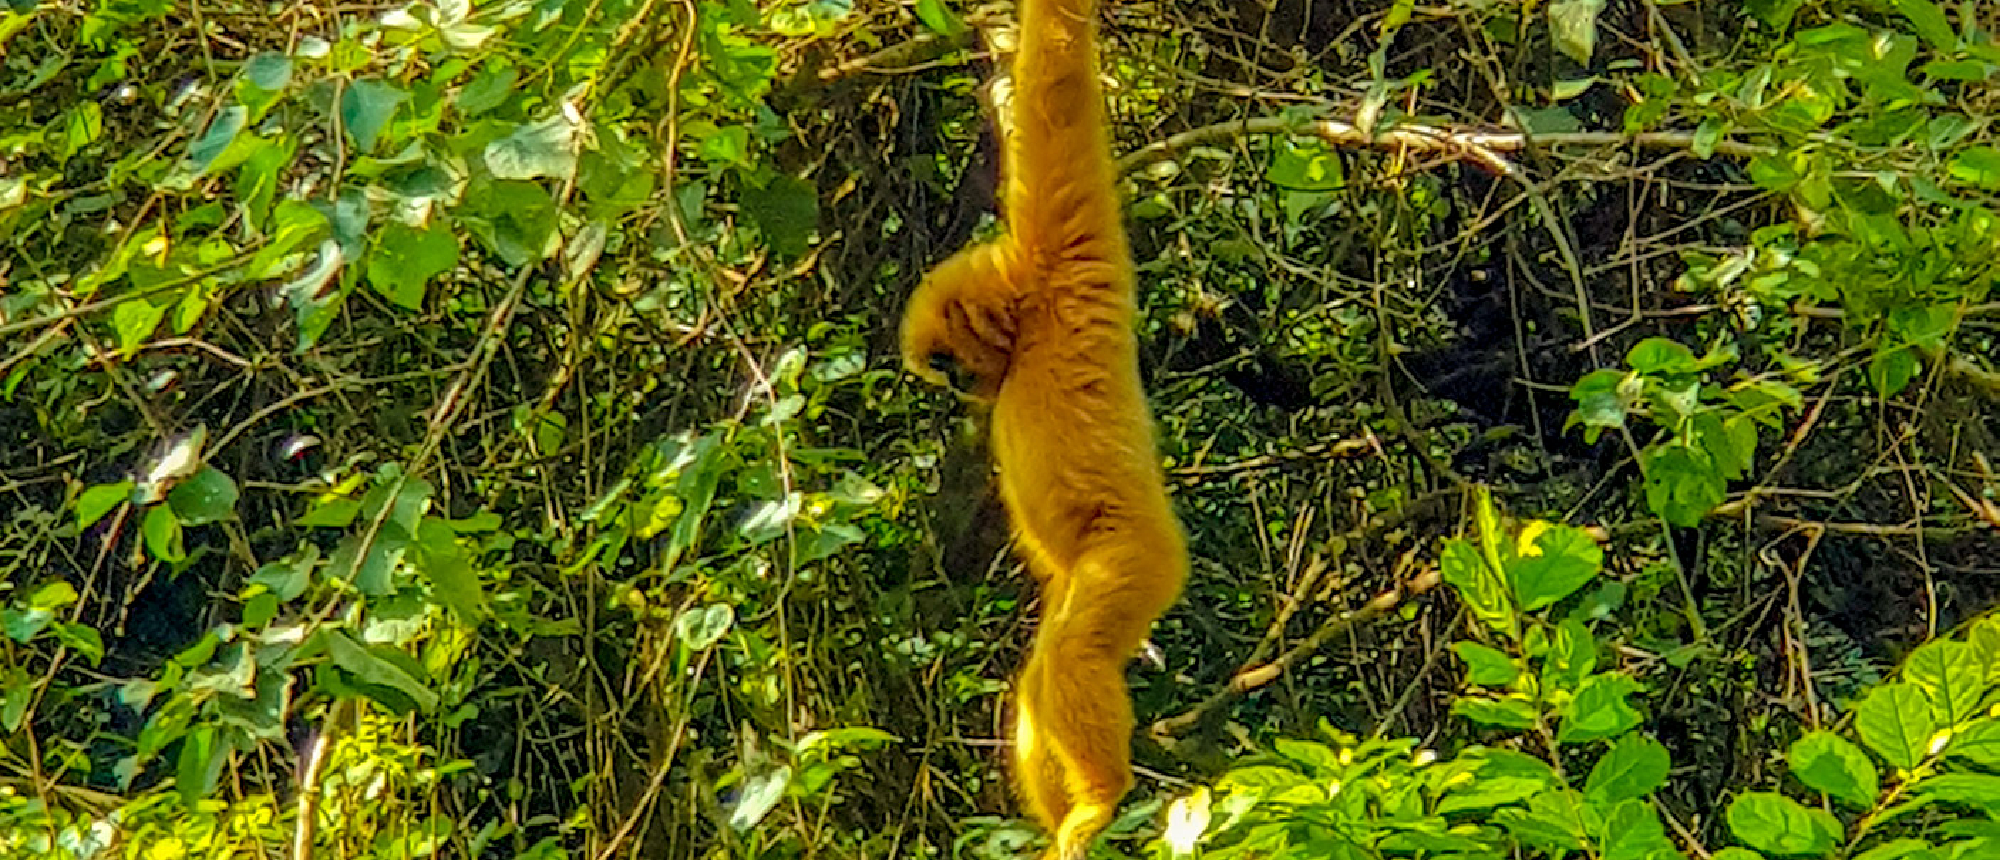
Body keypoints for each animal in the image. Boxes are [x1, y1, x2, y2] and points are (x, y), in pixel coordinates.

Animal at [897, 0, 1188, 854]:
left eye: (947, 364)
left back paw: (1100, 799)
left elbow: (1055, 88)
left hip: (1131, 560)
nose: (960, 387)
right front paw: (991, 45)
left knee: (1069, 657)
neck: (1029, 323)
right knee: (1039, 681)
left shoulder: (1064, 244)